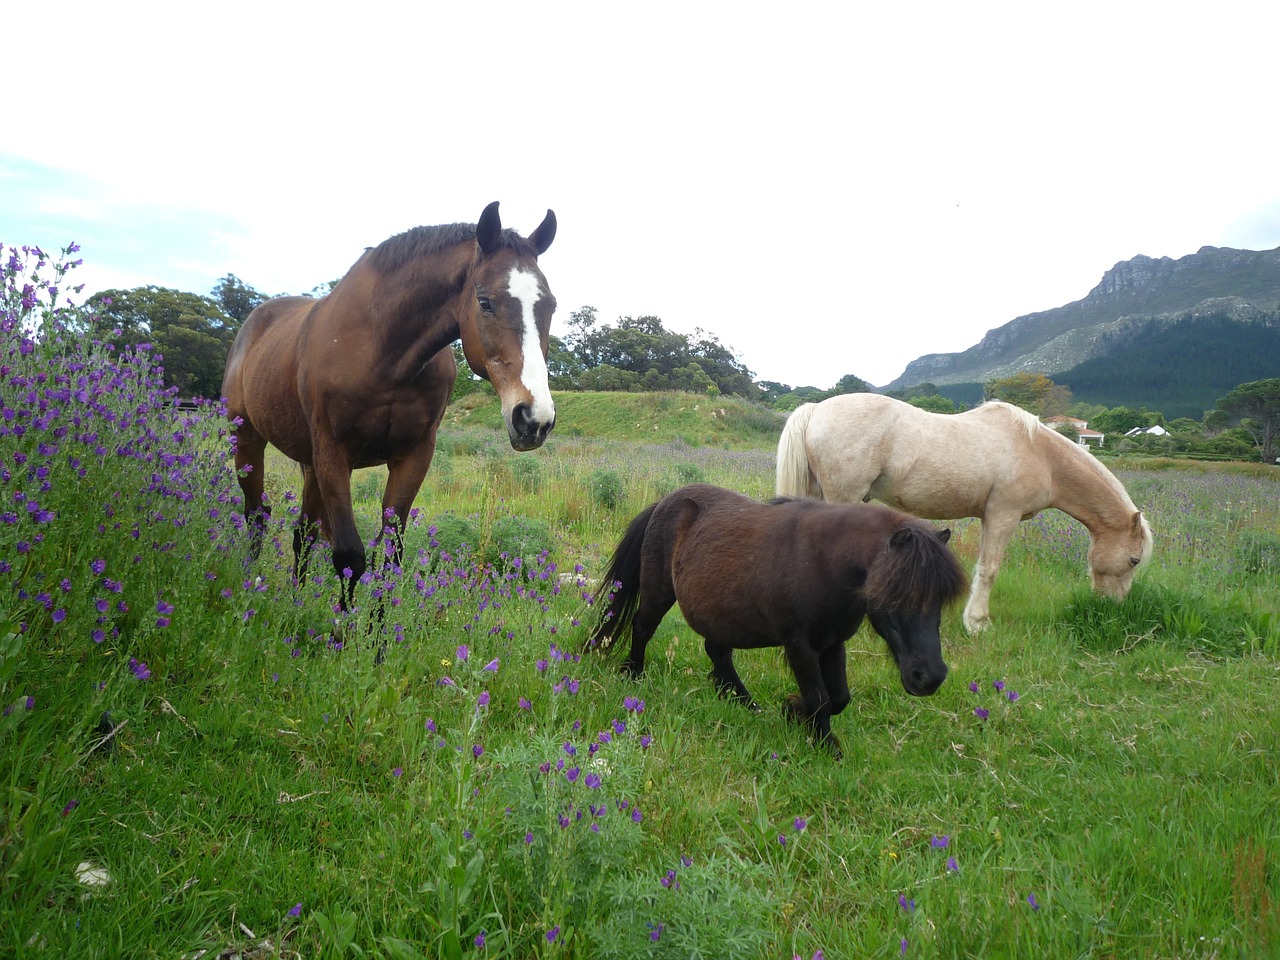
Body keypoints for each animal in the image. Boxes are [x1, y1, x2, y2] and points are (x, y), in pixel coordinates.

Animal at [218, 200, 555, 609]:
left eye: (550, 306)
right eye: (485, 302)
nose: (534, 418)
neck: (383, 353)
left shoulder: (413, 456)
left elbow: (389, 557)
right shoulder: (333, 453)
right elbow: (349, 555)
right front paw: (342, 627)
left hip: (308, 464)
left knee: (304, 533)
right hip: (248, 439)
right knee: (257, 514)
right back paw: (249, 585)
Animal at [588, 483, 967, 757]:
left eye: (940, 600)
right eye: (895, 595)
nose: (929, 677)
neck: (823, 562)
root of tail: (664, 503)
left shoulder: (832, 642)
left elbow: (839, 697)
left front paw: (793, 714)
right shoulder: (799, 644)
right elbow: (821, 699)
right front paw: (820, 741)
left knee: (717, 652)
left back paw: (743, 702)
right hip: (658, 593)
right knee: (642, 628)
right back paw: (633, 674)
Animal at [773, 394, 1157, 634]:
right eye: (1134, 560)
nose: (1112, 607)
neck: (1041, 454)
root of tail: (816, 409)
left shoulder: (990, 517)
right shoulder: (1003, 515)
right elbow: (989, 570)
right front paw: (978, 623)